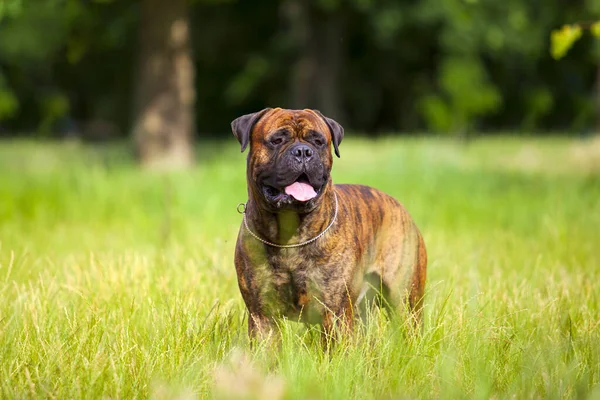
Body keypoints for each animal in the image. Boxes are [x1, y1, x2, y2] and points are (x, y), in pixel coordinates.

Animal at [230, 107, 426, 344]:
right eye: (277, 140)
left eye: (318, 141)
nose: (303, 151)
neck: (290, 232)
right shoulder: (262, 314)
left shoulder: (335, 312)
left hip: (404, 300)